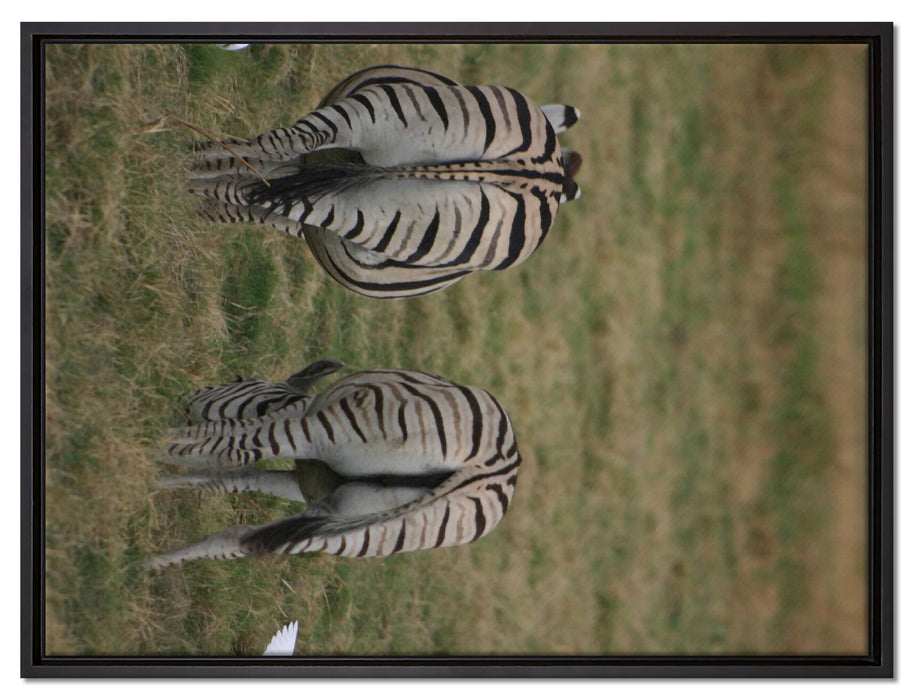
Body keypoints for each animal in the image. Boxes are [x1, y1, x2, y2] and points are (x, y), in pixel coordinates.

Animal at [149, 361, 520, 567]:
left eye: (238, 379)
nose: (182, 399)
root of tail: (491, 471)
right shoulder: (312, 483)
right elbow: (237, 478)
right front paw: (163, 481)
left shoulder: (299, 421)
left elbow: (228, 445)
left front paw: (161, 451)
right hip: (363, 534)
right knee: (238, 539)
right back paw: (151, 561)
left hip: (334, 427)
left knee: (234, 452)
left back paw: (148, 447)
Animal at [188, 64, 582, 299]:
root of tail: (524, 169)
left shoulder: (304, 195)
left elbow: (257, 187)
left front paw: (209, 177)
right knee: (274, 165)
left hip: (360, 184)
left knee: (272, 171)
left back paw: (183, 176)